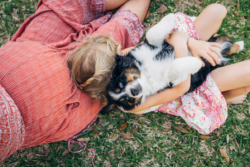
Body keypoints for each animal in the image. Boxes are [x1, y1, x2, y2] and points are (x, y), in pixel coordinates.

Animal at [100, 13, 244, 114]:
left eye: (120, 83)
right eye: (126, 100)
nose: (134, 92)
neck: (145, 74)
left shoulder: (150, 47)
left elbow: (152, 35)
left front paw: (170, 18)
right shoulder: (171, 82)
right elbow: (173, 67)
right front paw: (196, 63)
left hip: (213, 43)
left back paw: (240, 44)